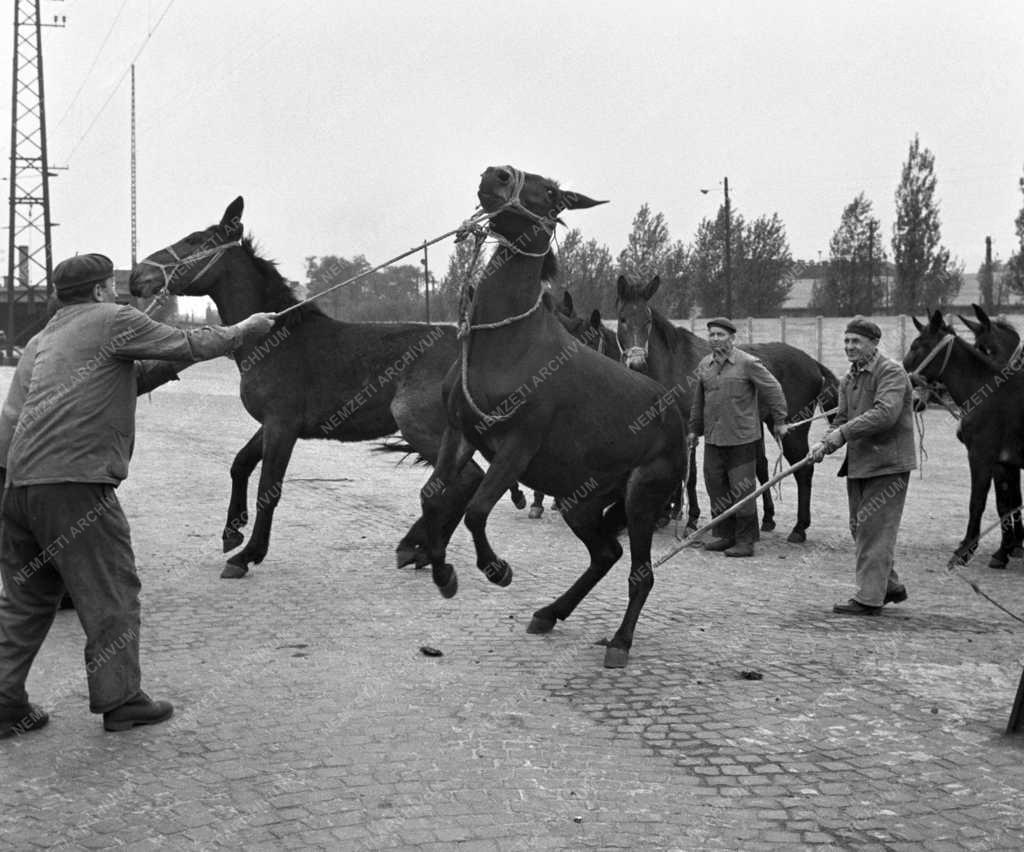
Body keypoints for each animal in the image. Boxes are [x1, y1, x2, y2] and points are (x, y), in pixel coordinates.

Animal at [415, 165, 688, 667]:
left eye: (553, 193)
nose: (497, 175)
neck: (507, 344)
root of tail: (675, 413)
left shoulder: (518, 446)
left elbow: (476, 510)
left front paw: (496, 569)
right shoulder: (460, 432)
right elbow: (433, 496)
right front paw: (444, 574)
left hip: (642, 496)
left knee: (639, 572)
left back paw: (620, 642)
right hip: (580, 501)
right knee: (605, 554)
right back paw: (549, 613)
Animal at [610, 278, 835, 544]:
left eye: (648, 321)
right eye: (622, 319)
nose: (636, 362)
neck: (673, 366)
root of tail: (813, 363)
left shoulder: (688, 430)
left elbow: (690, 475)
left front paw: (690, 520)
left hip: (793, 431)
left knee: (804, 471)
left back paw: (799, 528)